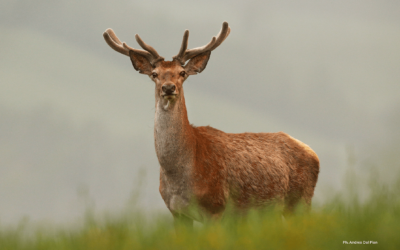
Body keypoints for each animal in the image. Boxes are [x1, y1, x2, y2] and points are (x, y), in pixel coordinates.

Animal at [103, 21, 318, 229]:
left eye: (182, 72)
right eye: (155, 74)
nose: (168, 88)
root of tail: (312, 153)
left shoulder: (216, 207)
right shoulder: (177, 212)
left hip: (300, 200)